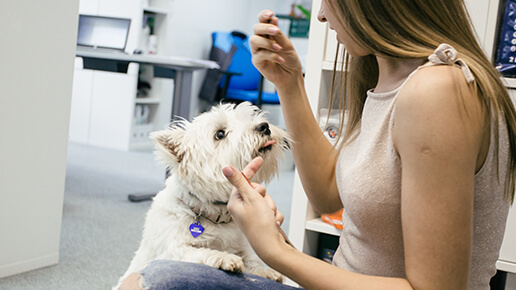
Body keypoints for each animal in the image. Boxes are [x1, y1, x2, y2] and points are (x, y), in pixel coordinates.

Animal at [116, 102, 290, 288]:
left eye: (246, 117)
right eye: (220, 134)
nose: (264, 126)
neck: (216, 215)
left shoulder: (241, 244)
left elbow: (251, 258)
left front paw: (267, 272)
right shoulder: (172, 248)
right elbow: (199, 251)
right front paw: (225, 257)